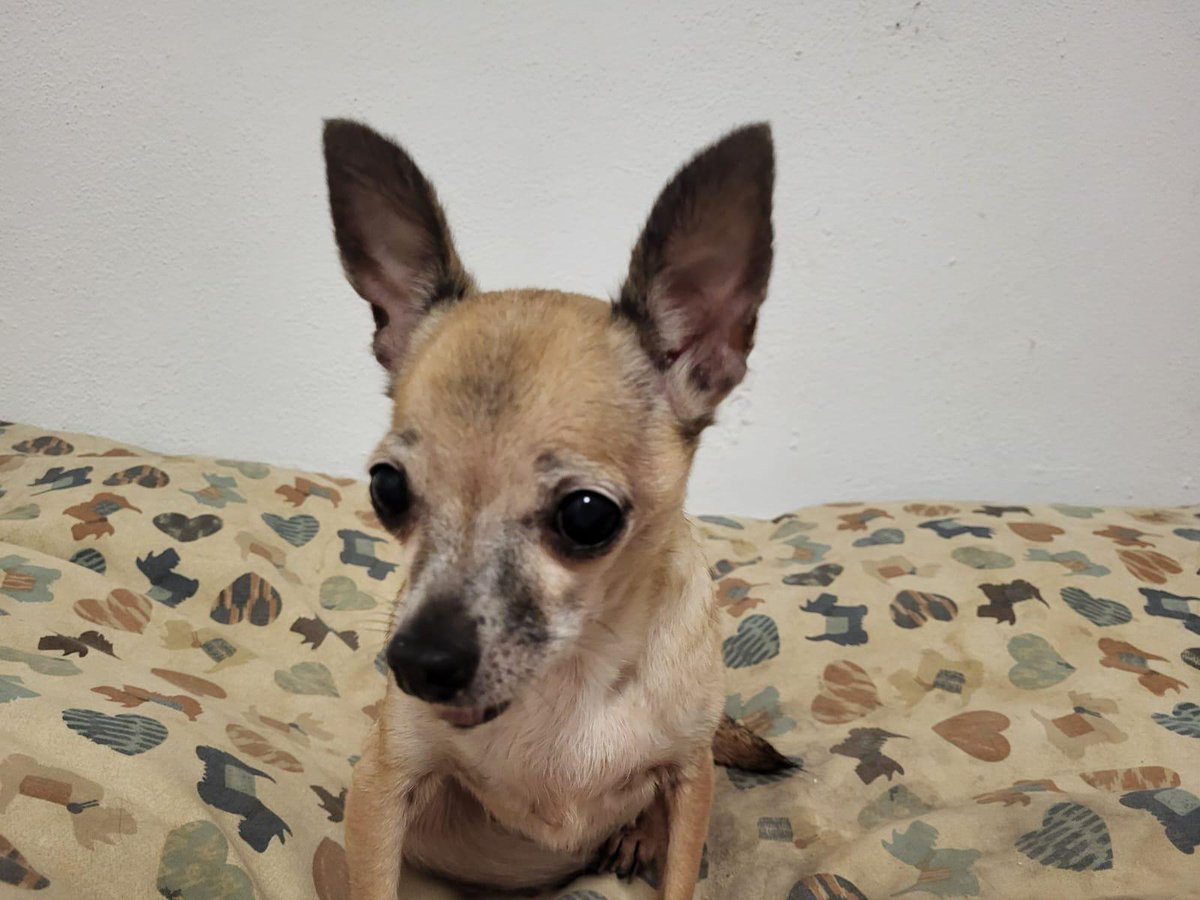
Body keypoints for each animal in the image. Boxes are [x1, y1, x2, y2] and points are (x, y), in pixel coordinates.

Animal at [324, 119, 791, 899]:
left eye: (587, 516)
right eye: (387, 490)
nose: (418, 662)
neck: (574, 678)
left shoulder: (691, 778)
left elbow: (680, 869)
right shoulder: (383, 789)